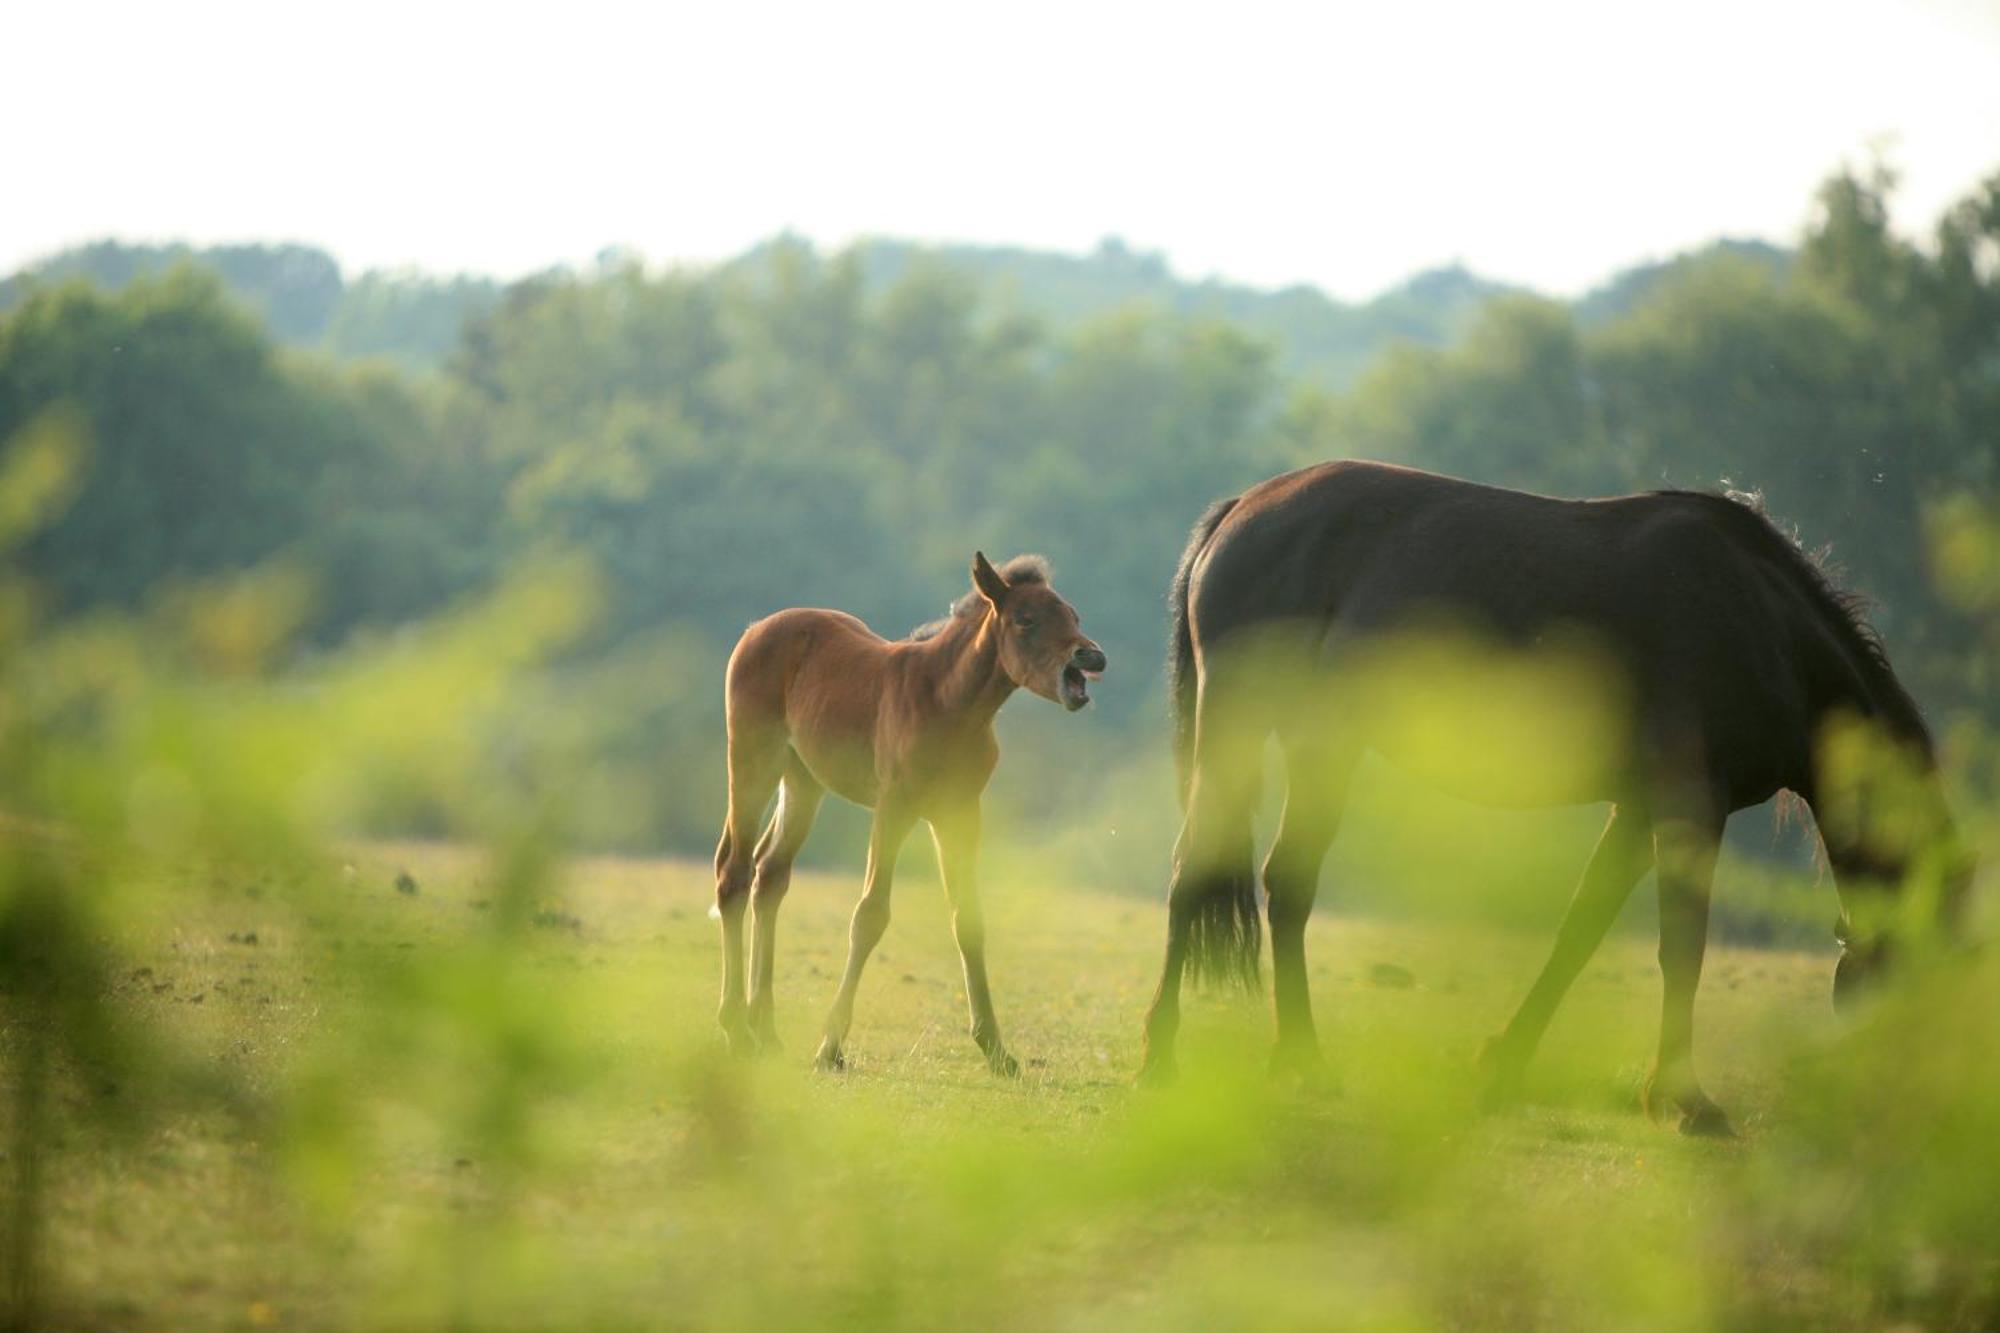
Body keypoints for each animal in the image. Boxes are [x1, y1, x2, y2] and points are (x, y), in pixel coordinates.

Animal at [712, 544, 1112, 1072]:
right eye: (1025, 620)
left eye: (1073, 615)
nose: (1092, 656)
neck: (950, 702)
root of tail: (756, 629)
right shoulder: (894, 808)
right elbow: (869, 916)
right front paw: (830, 1048)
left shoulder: (959, 815)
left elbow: (969, 918)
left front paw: (996, 1048)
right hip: (753, 760)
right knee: (734, 872)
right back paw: (736, 1028)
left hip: (803, 780)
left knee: (769, 874)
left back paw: (766, 1031)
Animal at [1144, 460, 1968, 1128]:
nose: (1905, 1107)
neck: (1762, 625)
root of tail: (1243, 508)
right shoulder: (1689, 805)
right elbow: (1682, 947)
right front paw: (1685, 1099)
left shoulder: (1637, 813)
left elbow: (1580, 932)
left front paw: (1504, 1062)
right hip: (1241, 736)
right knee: (1196, 875)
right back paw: (1164, 1054)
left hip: (1323, 749)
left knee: (1286, 884)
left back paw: (1301, 1060)